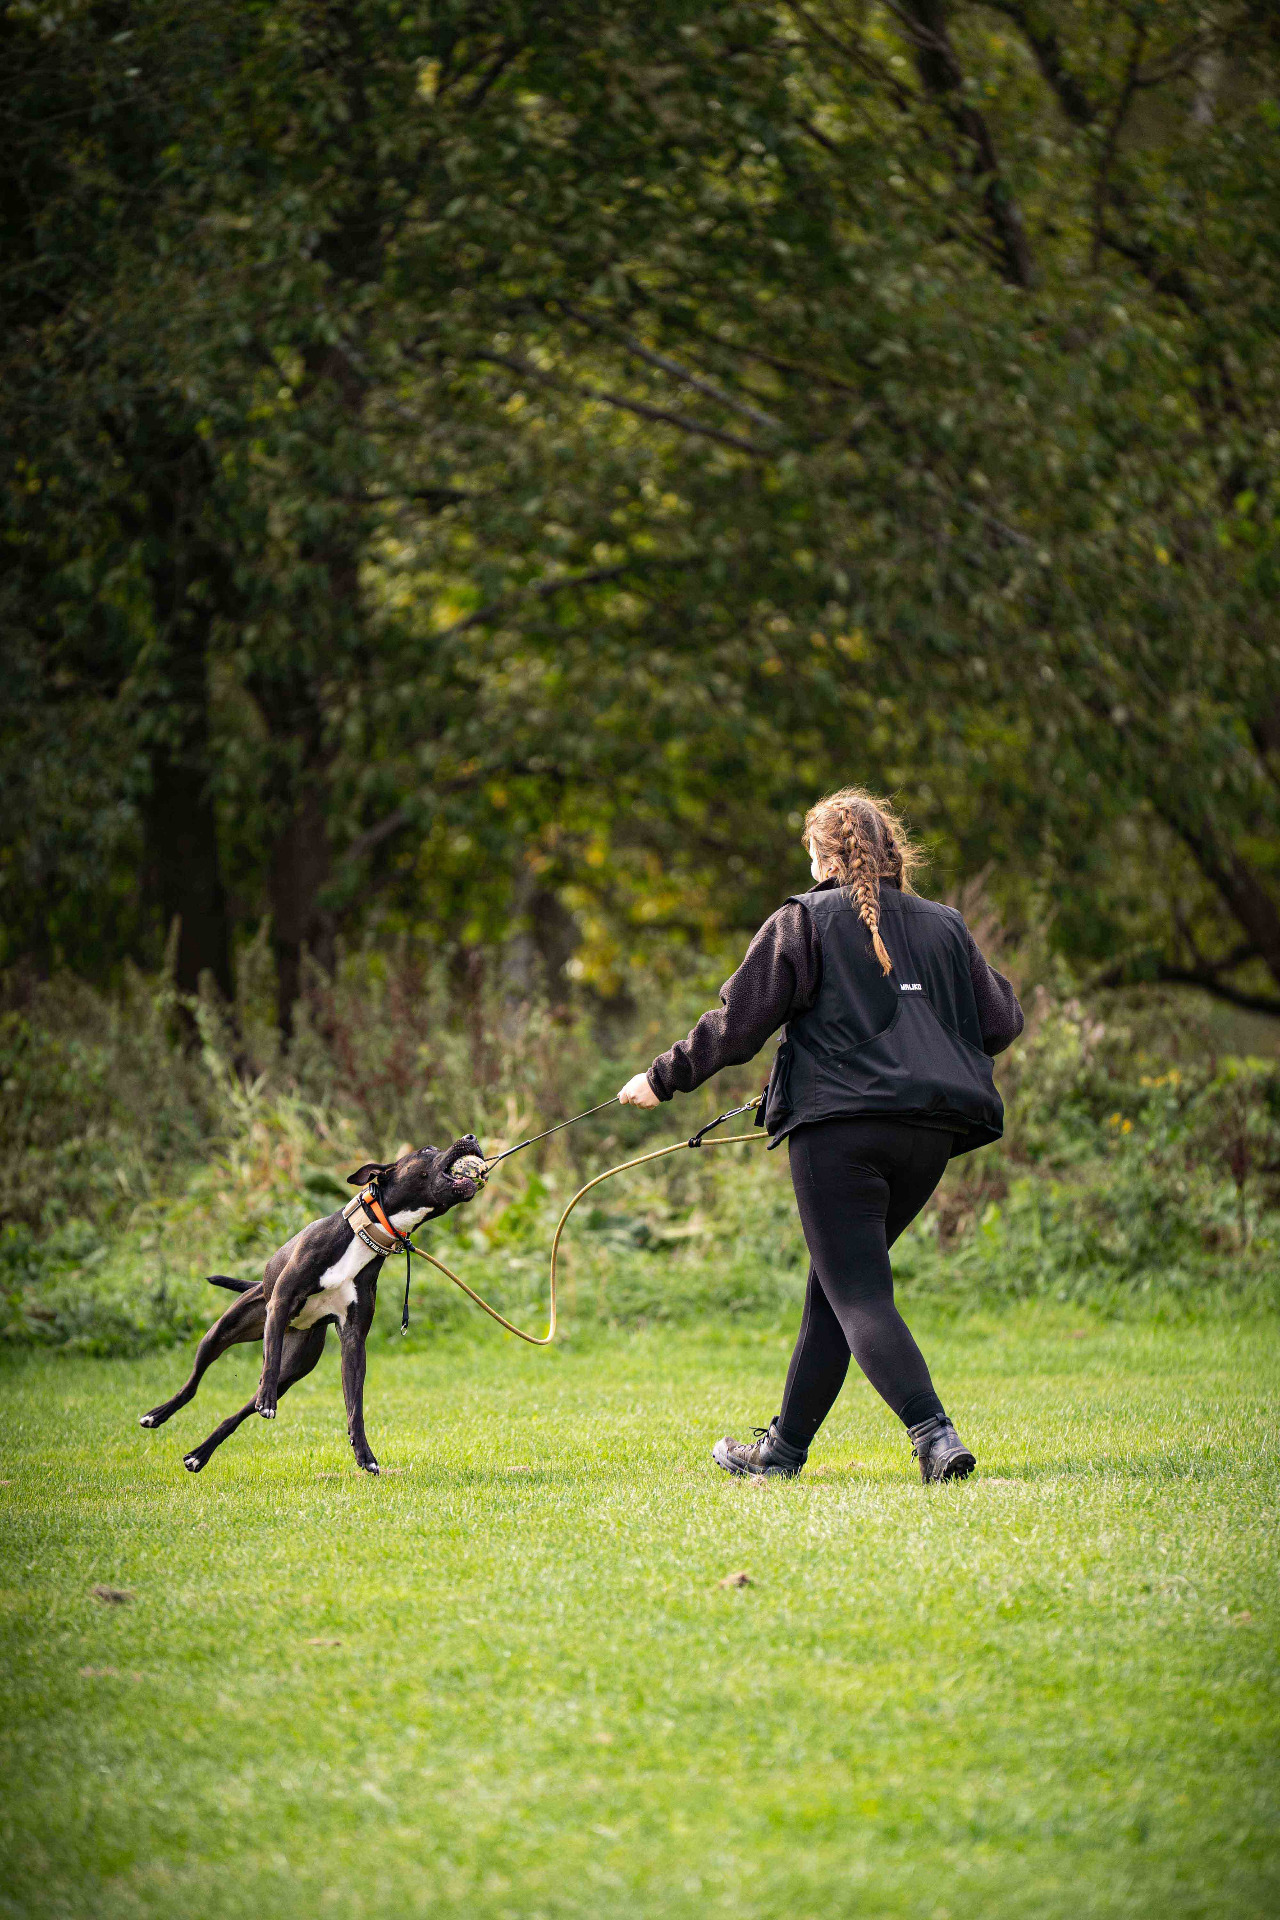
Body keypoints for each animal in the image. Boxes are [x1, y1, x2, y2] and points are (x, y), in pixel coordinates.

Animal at [139, 1135, 484, 1475]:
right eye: (428, 1149)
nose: (471, 1137)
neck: (363, 1234)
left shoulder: (353, 1339)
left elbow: (355, 1404)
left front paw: (363, 1453)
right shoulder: (280, 1303)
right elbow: (270, 1359)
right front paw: (268, 1402)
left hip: (293, 1369)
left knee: (240, 1409)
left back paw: (199, 1455)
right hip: (226, 1330)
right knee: (196, 1383)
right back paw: (158, 1415)